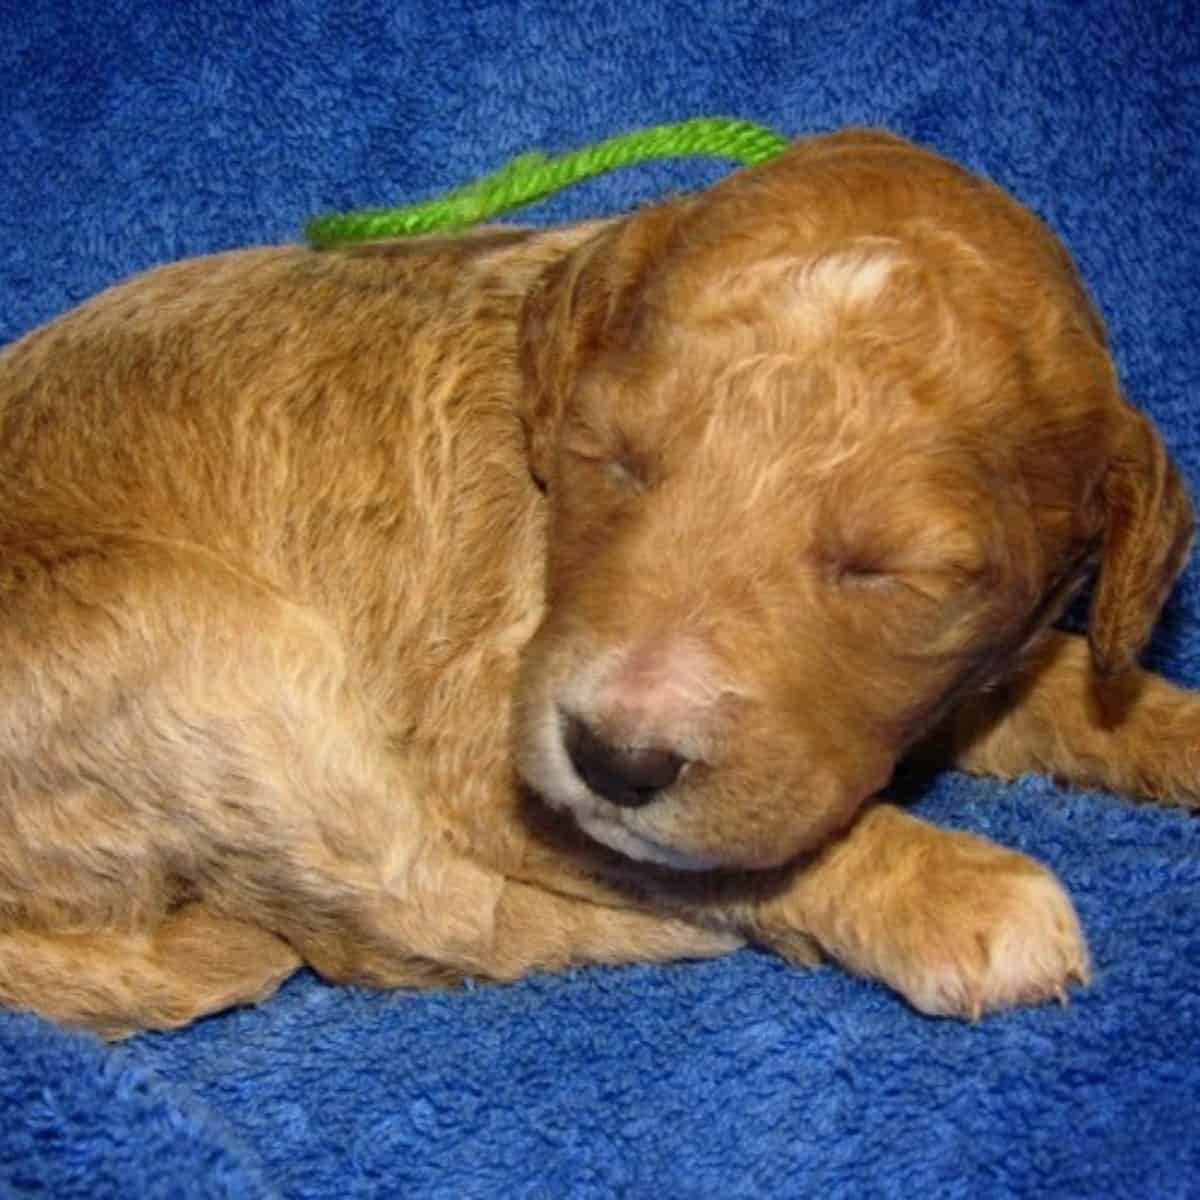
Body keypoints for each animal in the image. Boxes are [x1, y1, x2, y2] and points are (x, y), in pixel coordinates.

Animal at [2, 129, 1200, 1032]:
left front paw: (1163, 725)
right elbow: (702, 861)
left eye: (888, 570)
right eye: (613, 459)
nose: (616, 761)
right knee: (399, 922)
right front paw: (947, 891)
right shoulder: (474, 741)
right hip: (202, 646)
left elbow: (1066, 687)